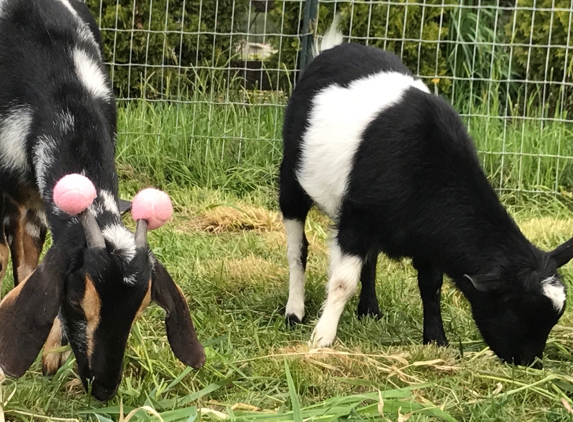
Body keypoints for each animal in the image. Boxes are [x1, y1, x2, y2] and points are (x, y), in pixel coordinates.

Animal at [282, 23, 572, 366]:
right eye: (517, 313)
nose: (530, 363)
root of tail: (335, 48)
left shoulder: (426, 235)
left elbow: (430, 286)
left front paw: (436, 339)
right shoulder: (356, 219)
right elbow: (342, 282)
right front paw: (322, 338)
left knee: (370, 258)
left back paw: (370, 310)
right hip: (291, 176)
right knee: (297, 248)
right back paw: (294, 311)